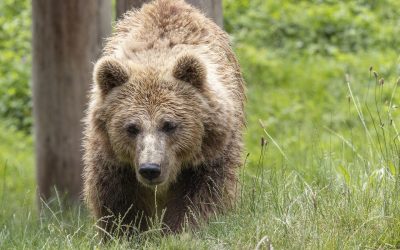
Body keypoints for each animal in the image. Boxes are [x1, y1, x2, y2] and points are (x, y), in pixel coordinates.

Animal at [83, 0, 245, 234]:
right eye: (131, 127)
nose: (150, 169)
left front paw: (183, 229)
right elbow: (118, 201)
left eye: (169, 125)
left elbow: (200, 197)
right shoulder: (113, 159)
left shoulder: (208, 154)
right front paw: (126, 232)